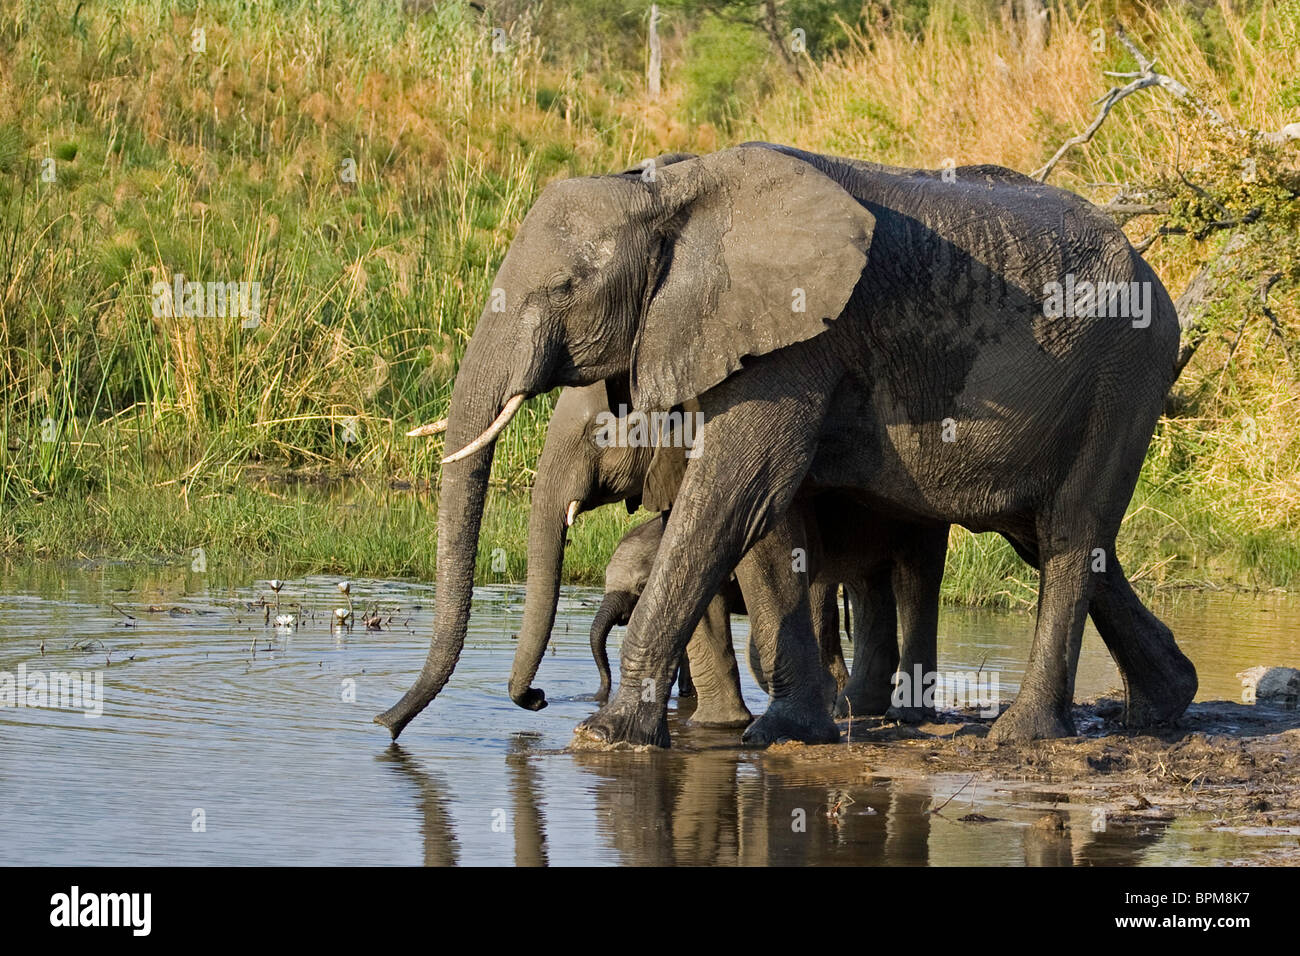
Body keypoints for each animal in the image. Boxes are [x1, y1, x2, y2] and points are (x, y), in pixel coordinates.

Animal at [378, 142, 1197, 748]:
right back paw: (1162, 707)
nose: (384, 727)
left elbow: (740, 485)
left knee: (1068, 536)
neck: (674, 193)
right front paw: (787, 733)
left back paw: (1020, 738)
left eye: (563, 288)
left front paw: (606, 739)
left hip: (1127, 372)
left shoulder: (798, 339)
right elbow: (770, 516)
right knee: (1051, 538)